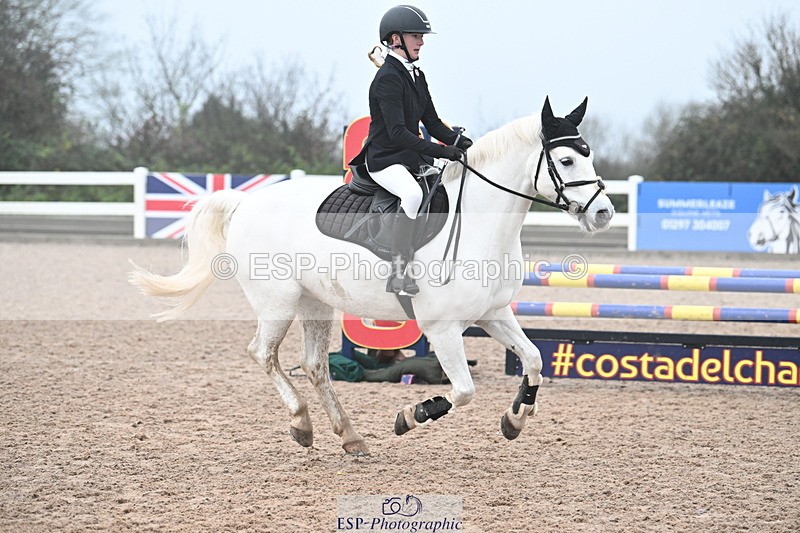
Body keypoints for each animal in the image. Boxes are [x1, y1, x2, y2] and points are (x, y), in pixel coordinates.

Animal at [129, 97, 615, 455]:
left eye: (588, 155)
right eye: (566, 161)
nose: (604, 213)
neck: (480, 223)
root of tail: (246, 201)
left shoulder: (494, 314)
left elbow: (533, 360)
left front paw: (514, 419)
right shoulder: (442, 329)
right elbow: (463, 391)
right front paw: (410, 416)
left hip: (316, 304)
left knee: (314, 365)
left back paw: (350, 437)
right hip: (277, 303)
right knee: (263, 354)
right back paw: (301, 423)